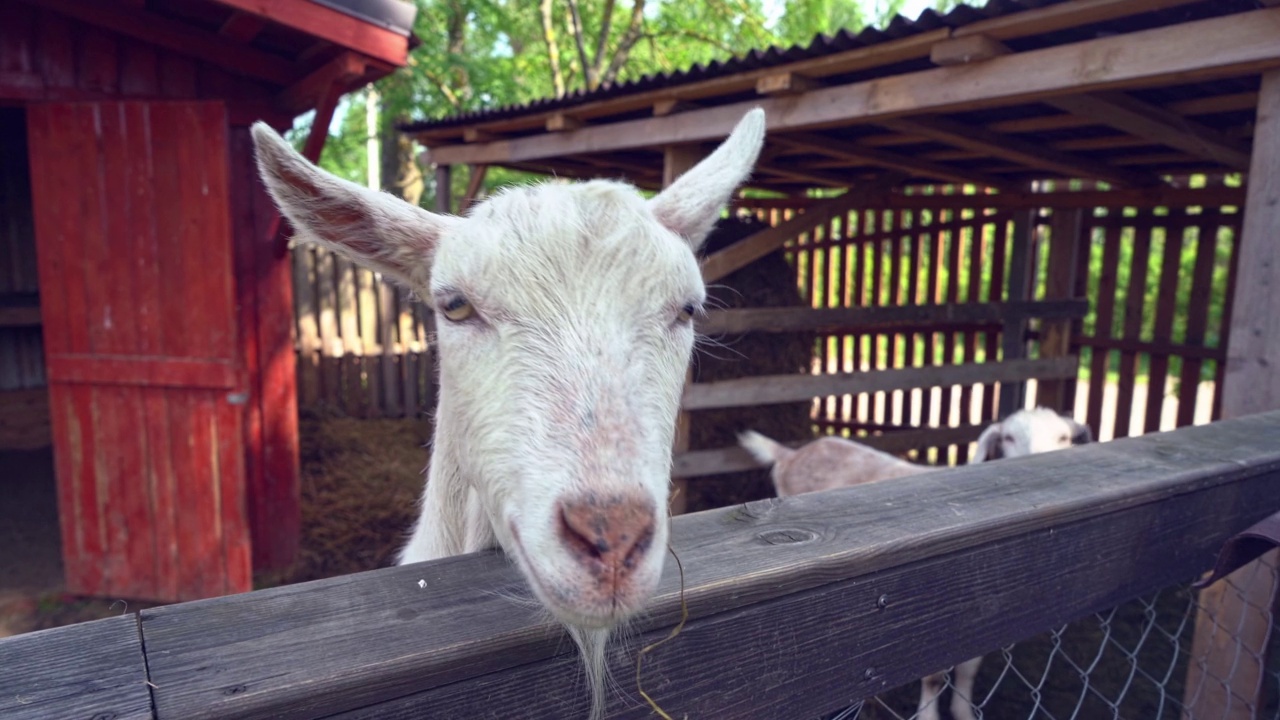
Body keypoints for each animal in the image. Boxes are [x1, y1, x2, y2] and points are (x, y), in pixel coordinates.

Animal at [742, 407, 1090, 717]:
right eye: (1008, 437)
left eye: (1063, 437)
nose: (1039, 463)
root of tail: (792, 453)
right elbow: (934, 677)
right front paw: (929, 716)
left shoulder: (985, 611)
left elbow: (969, 669)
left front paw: (963, 712)